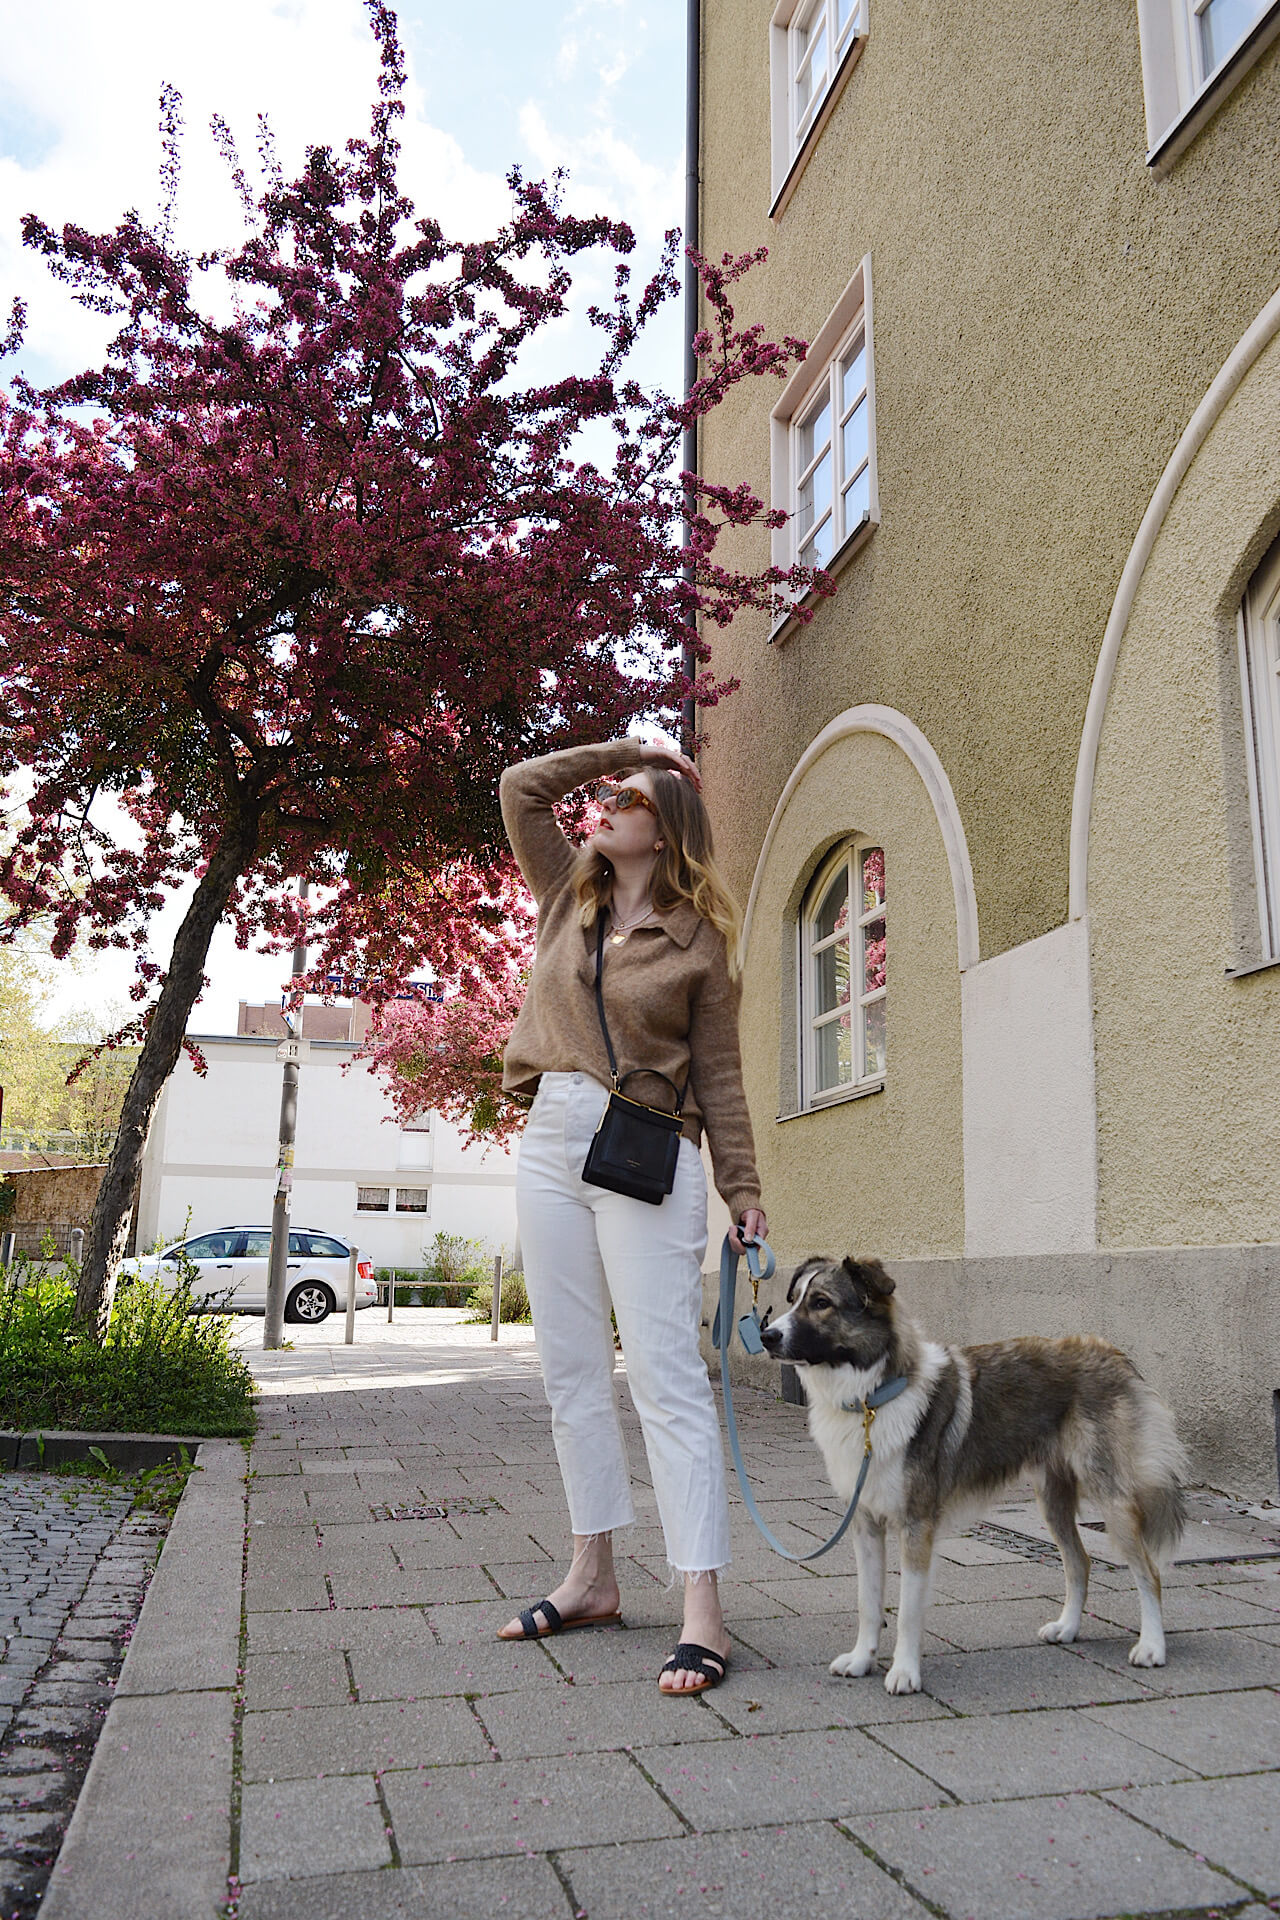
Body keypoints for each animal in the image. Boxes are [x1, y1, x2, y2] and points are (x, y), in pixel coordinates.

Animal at [759, 1259, 1189, 1697]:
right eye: (794, 1299)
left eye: (821, 1303)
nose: (766, 1335)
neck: (873, 1399)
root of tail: (1111, 1352)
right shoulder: (865, 1523)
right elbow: (868, 1602)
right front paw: (863, 1659)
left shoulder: (916, 1526)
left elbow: (907, 1611)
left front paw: (905, 1672)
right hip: (1052, 1500)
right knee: (1079, 1562)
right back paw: (1067, 1628)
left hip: (1110, 1496)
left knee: (1149, 1573)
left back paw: (1152, 1647)